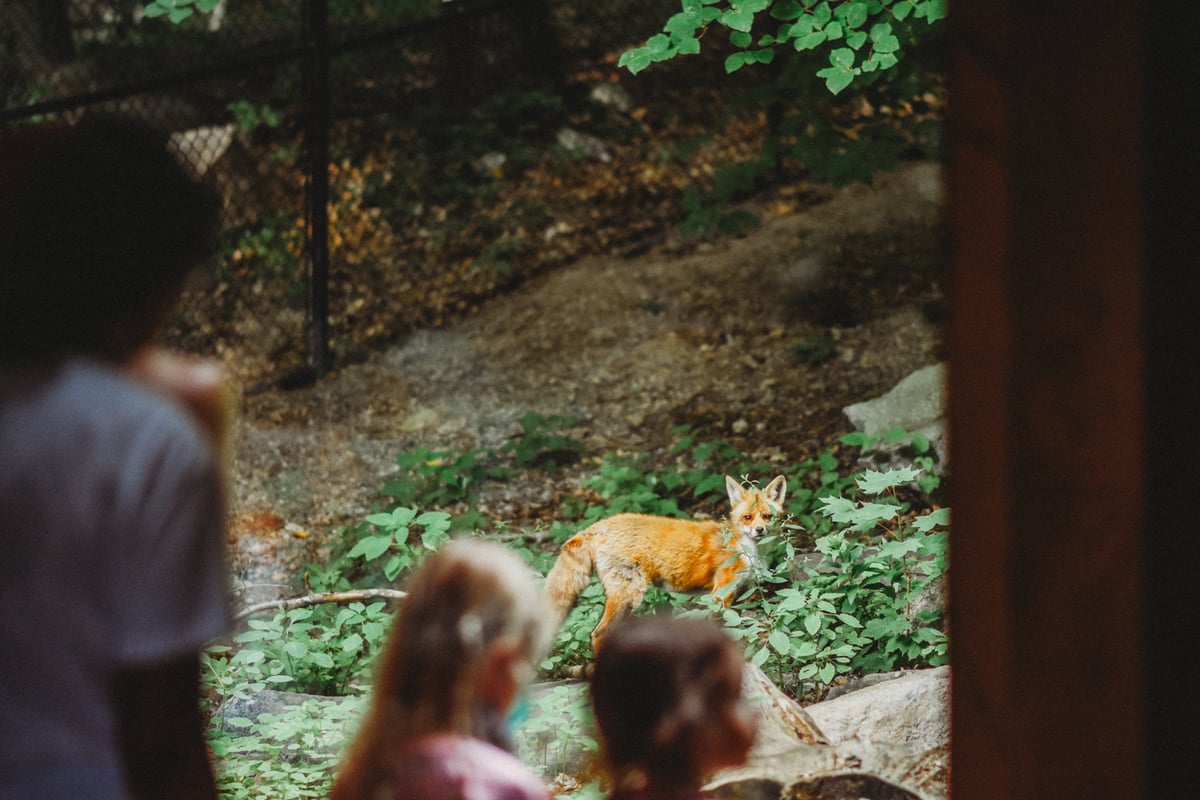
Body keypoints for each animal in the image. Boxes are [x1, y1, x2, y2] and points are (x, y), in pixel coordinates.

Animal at [547, 474, 787, 652]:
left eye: (767, 517)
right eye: (748, 517)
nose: (759, 530)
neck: (746, 549)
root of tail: (599, 525)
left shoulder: (741, 593)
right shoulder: (720, 593)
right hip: (629, 596)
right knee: (598, 634)